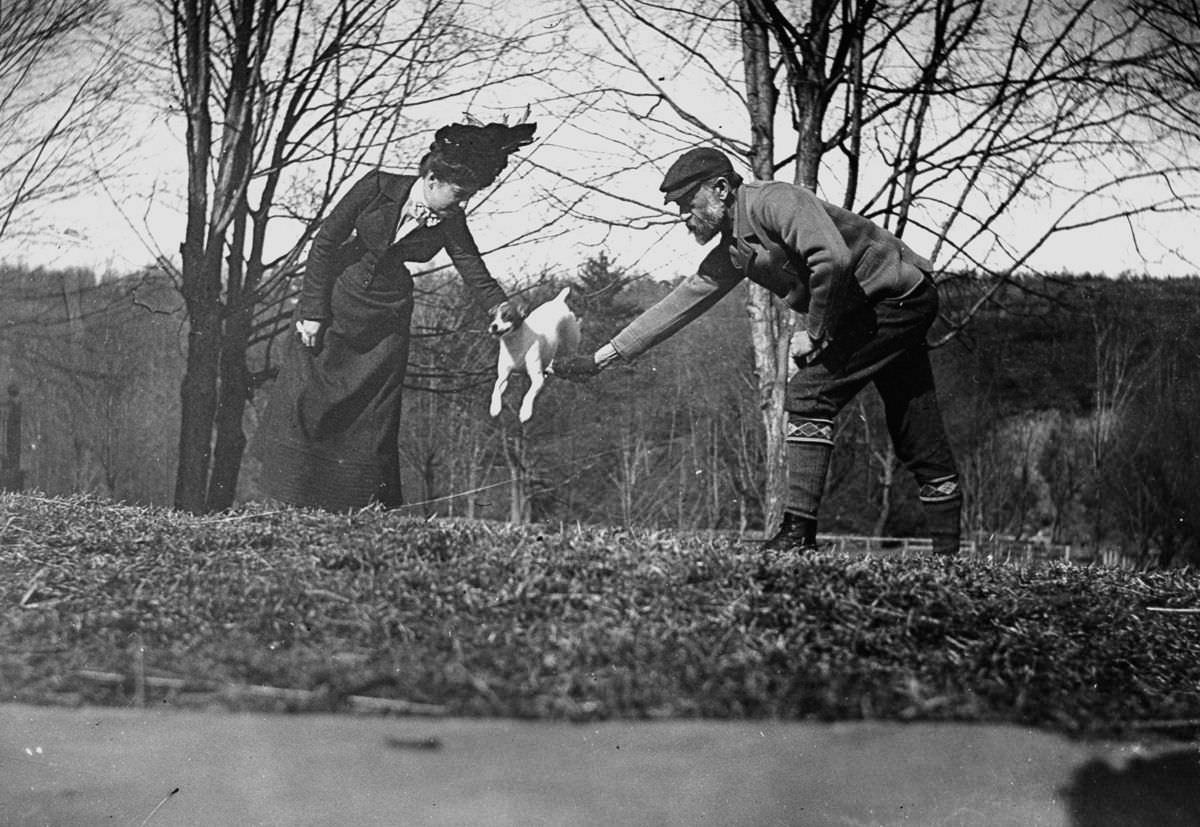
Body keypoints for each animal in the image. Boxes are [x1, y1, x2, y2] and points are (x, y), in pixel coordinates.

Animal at [487, 285, 580, 424]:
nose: (493, 326)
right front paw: (495, 407)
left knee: (572, 349)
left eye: (506, 315)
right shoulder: (504, 376)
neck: (515, 345)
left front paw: (525, 412)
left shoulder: (536, 378)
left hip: (571, 339)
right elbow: (496, 388)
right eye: (492, 317)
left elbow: (528, 395)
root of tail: (557, 301)